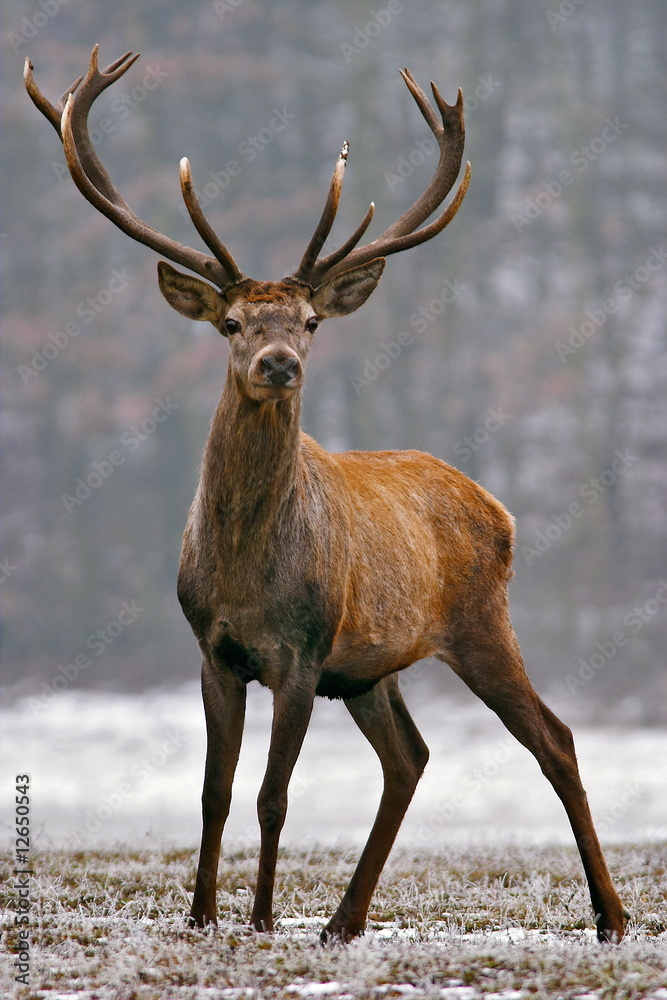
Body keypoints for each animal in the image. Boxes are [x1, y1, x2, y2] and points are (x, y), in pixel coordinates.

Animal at [27, 43, 628, 940]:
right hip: (373, 667)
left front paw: (259, 920)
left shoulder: (303, 652)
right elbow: (212, 794)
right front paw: (201, 920)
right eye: (232, 324)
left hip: (479, 620)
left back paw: (610, 916)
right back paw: (343, 921)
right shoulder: (213, 649)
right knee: (410, 758)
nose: (280, 363)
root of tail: (500, 509)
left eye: (309, 323)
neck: (244, 573)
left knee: (553, 740)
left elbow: (273, 798)